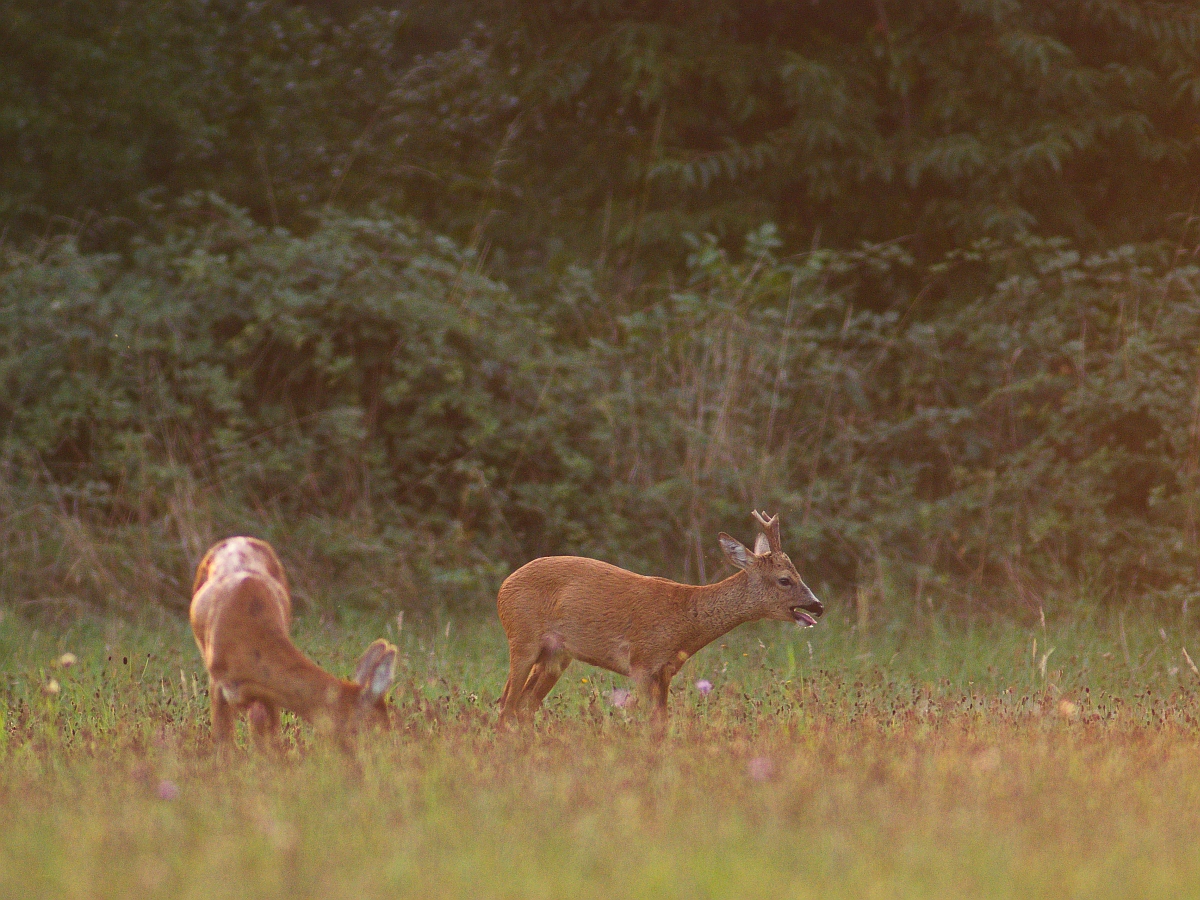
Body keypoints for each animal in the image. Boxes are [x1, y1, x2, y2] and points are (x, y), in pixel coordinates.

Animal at [496, 511, 825, 729]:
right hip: (522, 638)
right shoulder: (641, 662)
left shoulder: (665, 671)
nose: (818, 605)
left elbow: (663, 723)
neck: (685, 620)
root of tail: (503, 587)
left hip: (556, 655)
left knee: (523, 706)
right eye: (784, 580)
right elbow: (651, 722)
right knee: (507, 706)